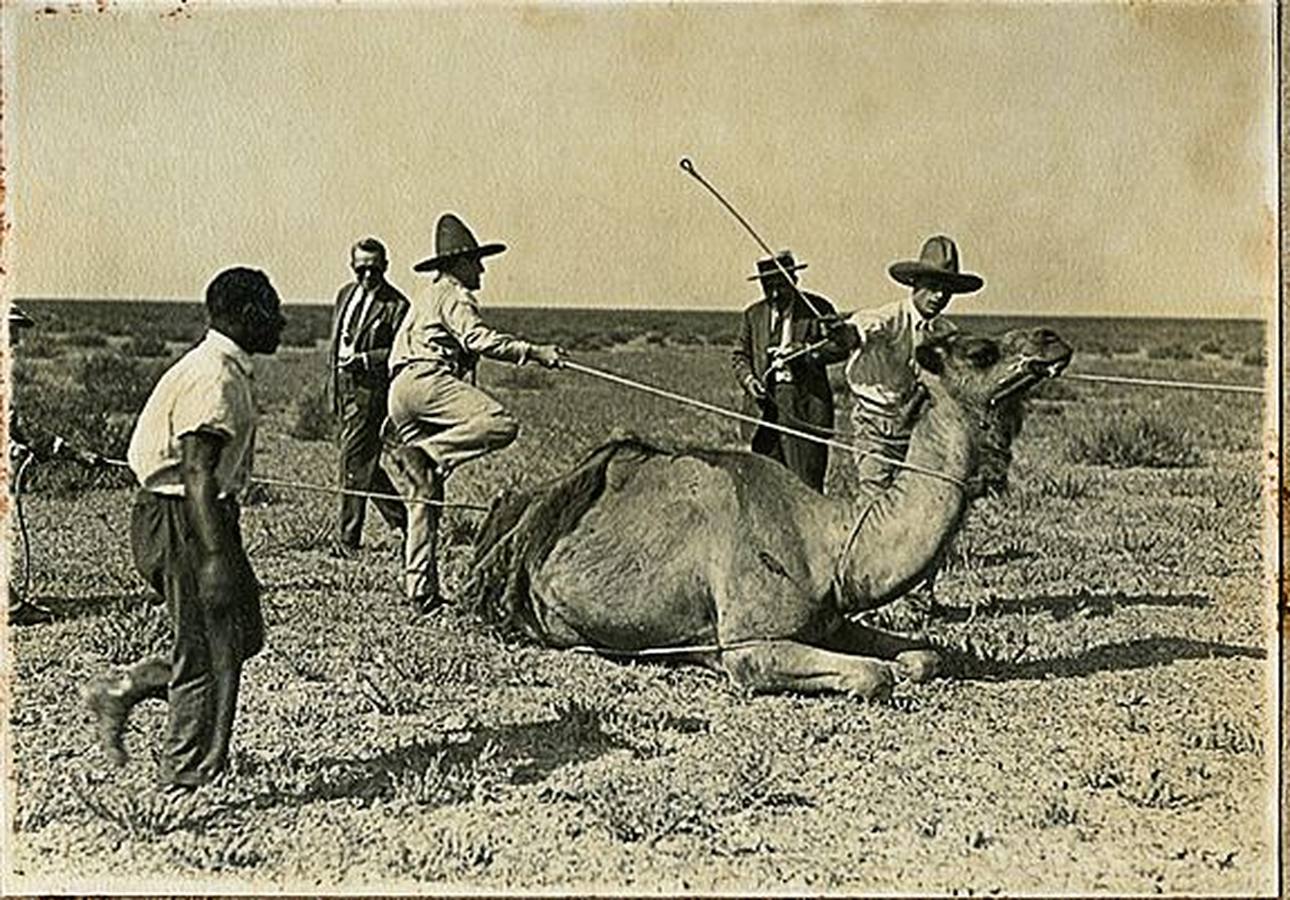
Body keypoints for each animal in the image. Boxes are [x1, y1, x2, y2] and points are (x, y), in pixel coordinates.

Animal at [464, 326, 1068, 696]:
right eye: (981, 353)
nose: (1051, 338)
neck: (828, 544)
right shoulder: (750, 647)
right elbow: (875, 676)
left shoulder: (833, 620)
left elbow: (925, 657)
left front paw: (915, 657)